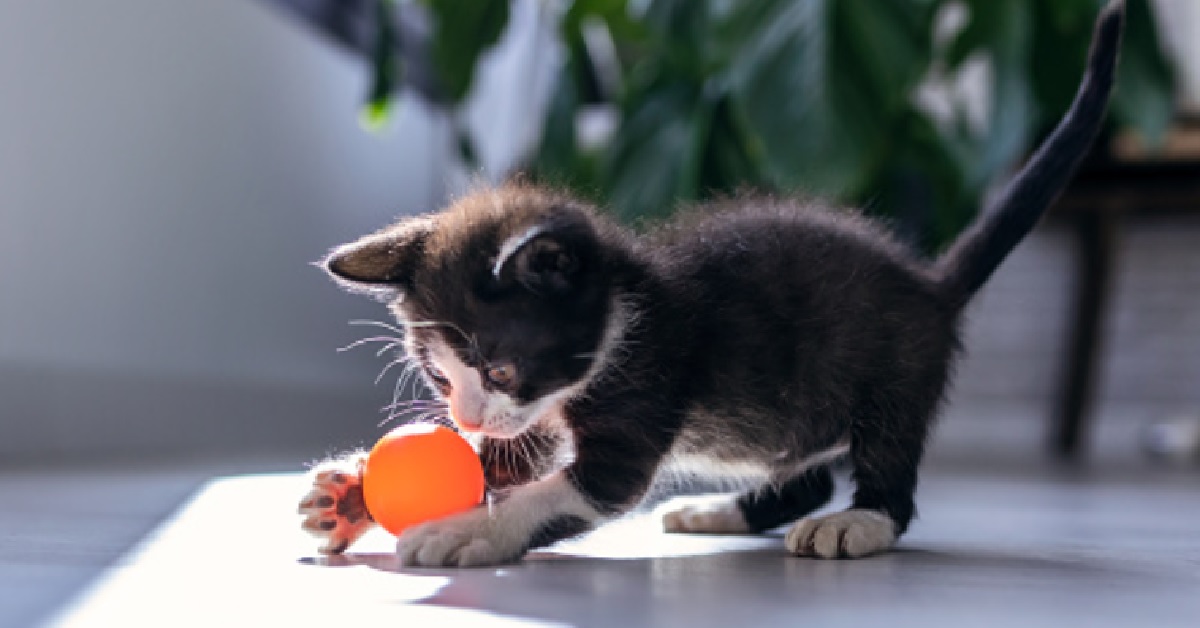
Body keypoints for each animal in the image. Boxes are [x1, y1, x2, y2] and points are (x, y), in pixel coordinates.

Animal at [300, 2, 1123, 566]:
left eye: (500, 368)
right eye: (442, 381)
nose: (463, 419)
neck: (625, 314)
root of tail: (929, 283)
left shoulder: (645, 384)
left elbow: (569, 488)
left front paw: (470, 529)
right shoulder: (538, 414)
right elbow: (511, 458)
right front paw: (350, 497)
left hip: (896, 369)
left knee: (888, 461)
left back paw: (858, 521)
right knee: (804, 472)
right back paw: (721, 511)